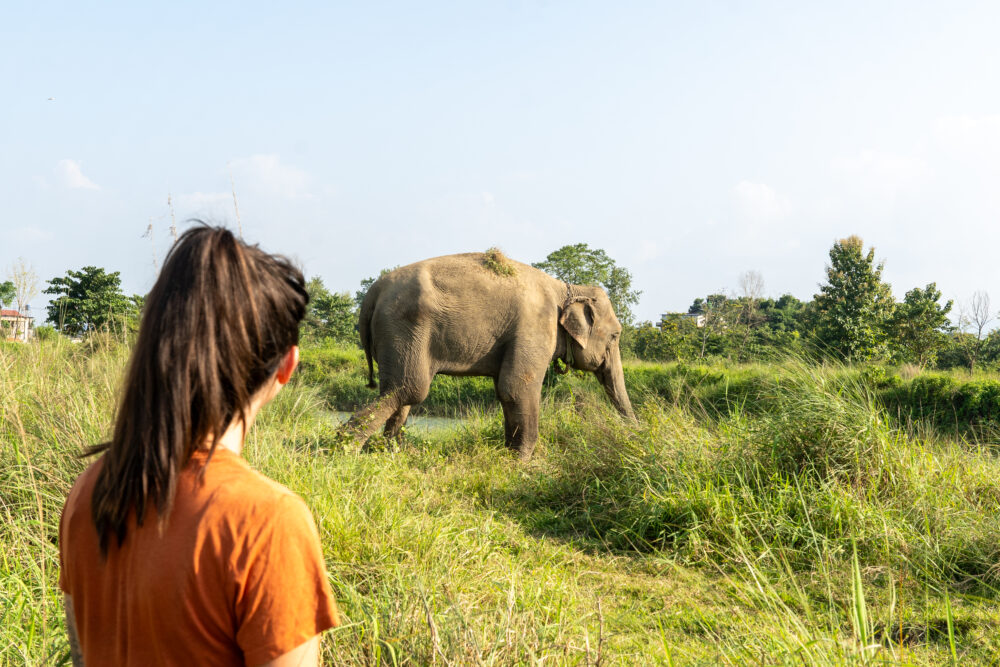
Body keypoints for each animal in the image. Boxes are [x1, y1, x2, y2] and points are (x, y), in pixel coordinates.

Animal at [344, 251, 636, 459]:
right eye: (615, 336)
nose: (634, 434)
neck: (567, 288)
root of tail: (371, 294)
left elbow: (505, 391)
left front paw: (508, 454)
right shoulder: (535, 328)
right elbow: (517, 387)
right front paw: (520, 463)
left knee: (401, 394)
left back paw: (389, 453)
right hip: (403, 329)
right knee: (409, 389)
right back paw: (344, 449)